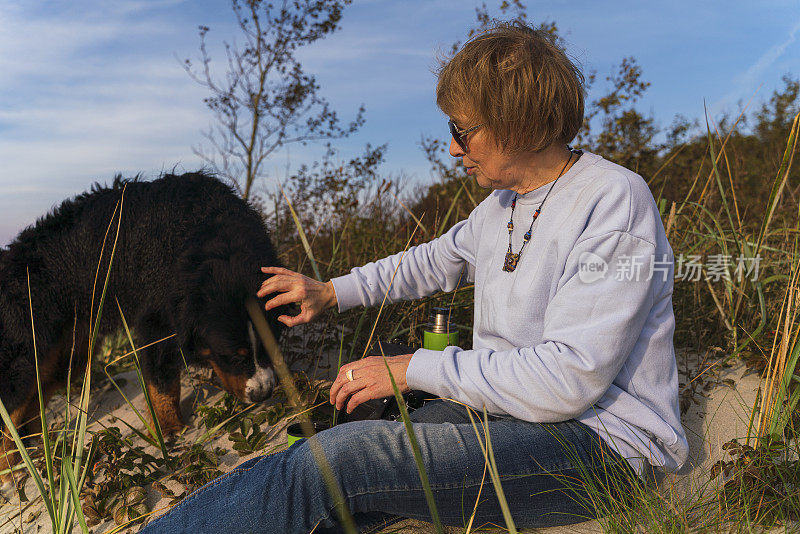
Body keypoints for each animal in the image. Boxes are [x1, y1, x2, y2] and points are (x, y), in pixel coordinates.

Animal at [0, 173, 284, 486]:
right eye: (233, 356)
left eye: (271, 344)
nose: (263, 394)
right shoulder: (156, 322)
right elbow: (162, 383)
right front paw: (168, 429)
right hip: (25, 358)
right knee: (10, 412)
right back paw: (11, 471)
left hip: (65, 357)